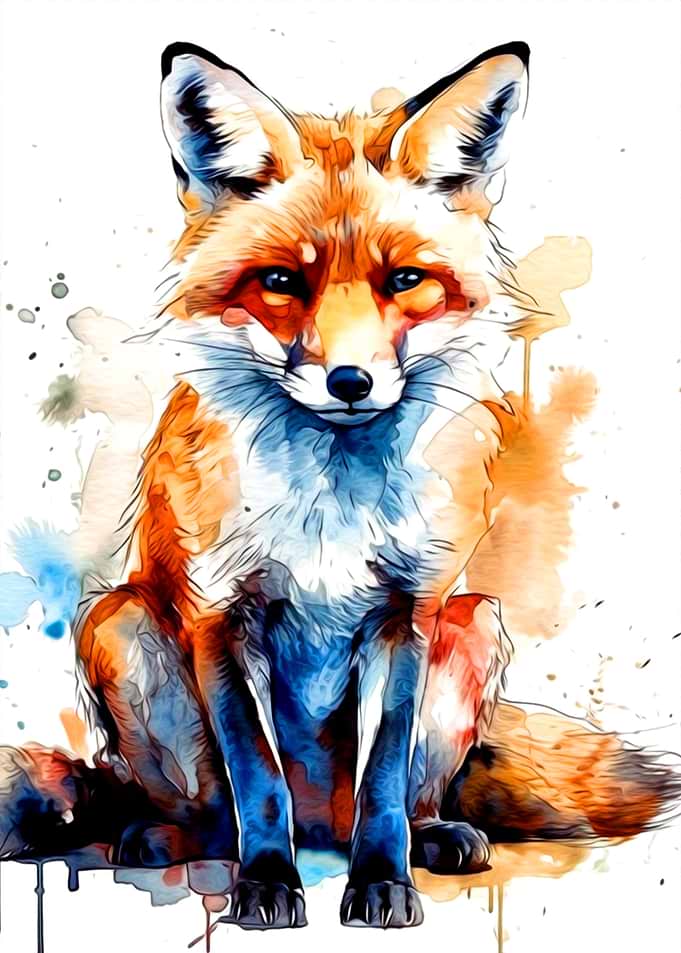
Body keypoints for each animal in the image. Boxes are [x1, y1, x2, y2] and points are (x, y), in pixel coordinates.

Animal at [0, 40, 678, 932]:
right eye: (283, 282)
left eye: (405, 280)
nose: (350, 382)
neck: (333, 500)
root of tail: (323, 824)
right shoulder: (220, 616)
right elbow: (257, 780)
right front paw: (266, 884)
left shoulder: (407, 613)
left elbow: (382, 778)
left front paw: (382, 884)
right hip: (118, 622)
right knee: (210, 810)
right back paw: (166, 837)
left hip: (475, 623)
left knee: (388, 801)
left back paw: (434, 836)